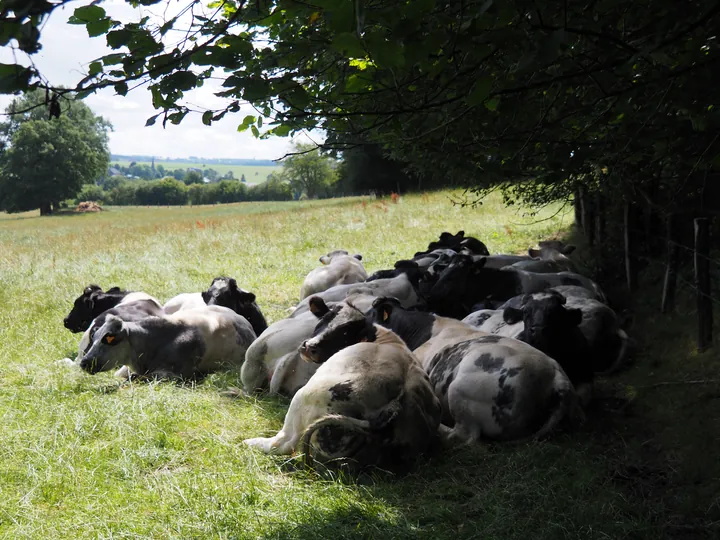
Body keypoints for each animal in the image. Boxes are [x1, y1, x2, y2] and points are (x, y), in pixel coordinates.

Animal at [245, 298, 442, 470]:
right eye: (324, 319)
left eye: (345, 332)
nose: (309, 346)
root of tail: (392, 408)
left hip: (304, 398)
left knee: (283, 443)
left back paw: (253, 442)